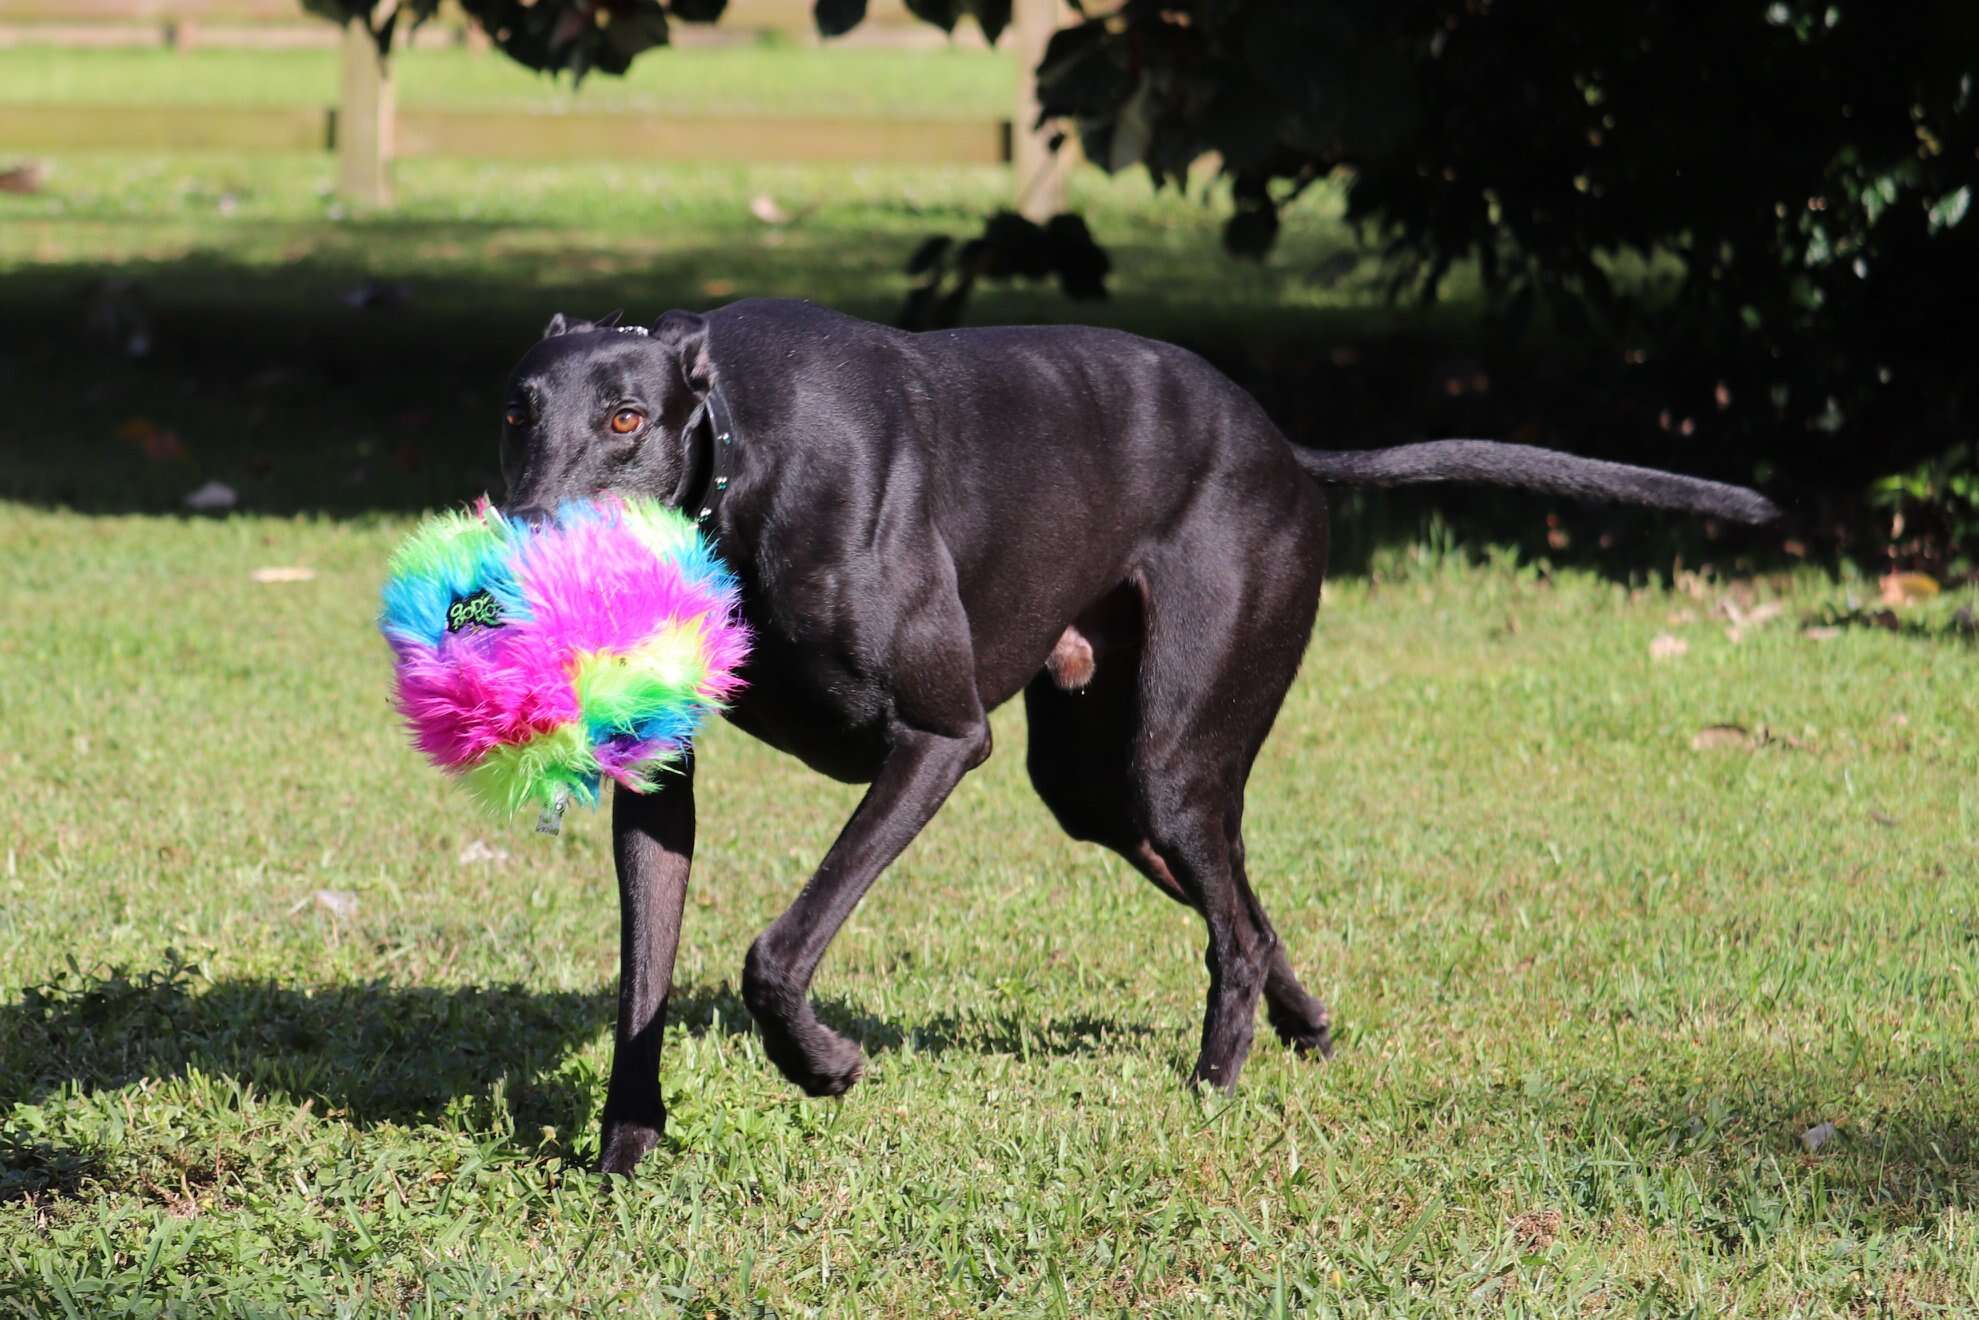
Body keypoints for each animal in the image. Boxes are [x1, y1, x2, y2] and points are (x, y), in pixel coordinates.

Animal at [494, 294, 1781, 1171]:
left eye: (625, 417)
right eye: (514, 411)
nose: (514, 550)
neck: (736, 445)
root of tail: (1282, 445)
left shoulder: (938, 739)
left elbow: (775, 951)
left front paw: (824, 1064)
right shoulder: (659, 783)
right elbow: (644, 971)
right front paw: (623, 1153)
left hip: (1167, 753)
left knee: (1234, 927)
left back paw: (1213, 1085)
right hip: (1101, 789)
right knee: (1245, 909)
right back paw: (1300, 1032)